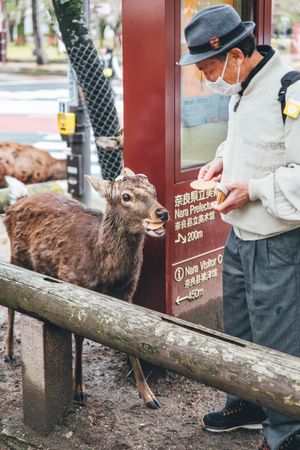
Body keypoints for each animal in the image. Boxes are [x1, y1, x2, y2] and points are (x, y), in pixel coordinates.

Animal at [3, 167, 169, 410]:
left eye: (154, 189)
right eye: (126, 196)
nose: (162, 213)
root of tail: (15, 203)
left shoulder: (127, 294)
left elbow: (131, 342)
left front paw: (149, 396)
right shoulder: (76, 286)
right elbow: (80, 339)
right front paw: (78, 391)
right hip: (17, 258)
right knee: (10, 305)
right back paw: (8, 352)